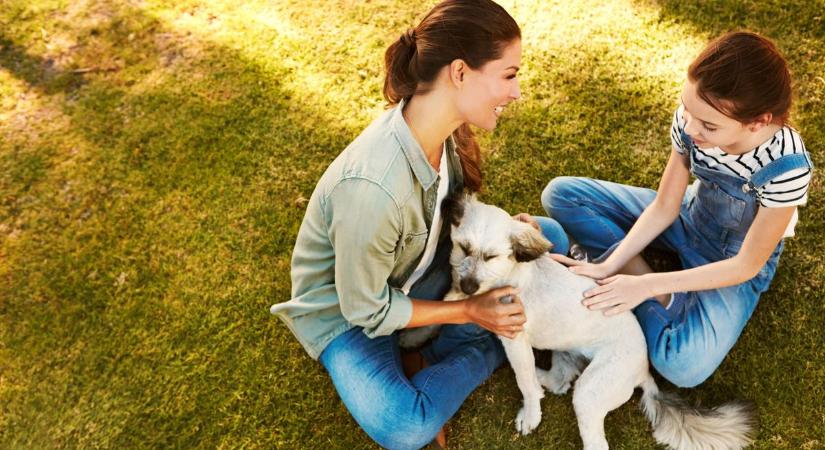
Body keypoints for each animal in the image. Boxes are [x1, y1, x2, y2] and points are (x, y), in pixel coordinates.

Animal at [400, 196, 752, 450]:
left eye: (491, 257)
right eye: (464, 248)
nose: (470, 285)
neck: (505, 278)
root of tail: (644, 371)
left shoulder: (514, 338)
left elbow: (524, 384)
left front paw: (531, 416)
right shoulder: (460, 296)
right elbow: (443, 310)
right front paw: (412, 336)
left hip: (590, 393)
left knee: (590, 432)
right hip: (566, 352)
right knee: (559, 381)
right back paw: (544, 376)